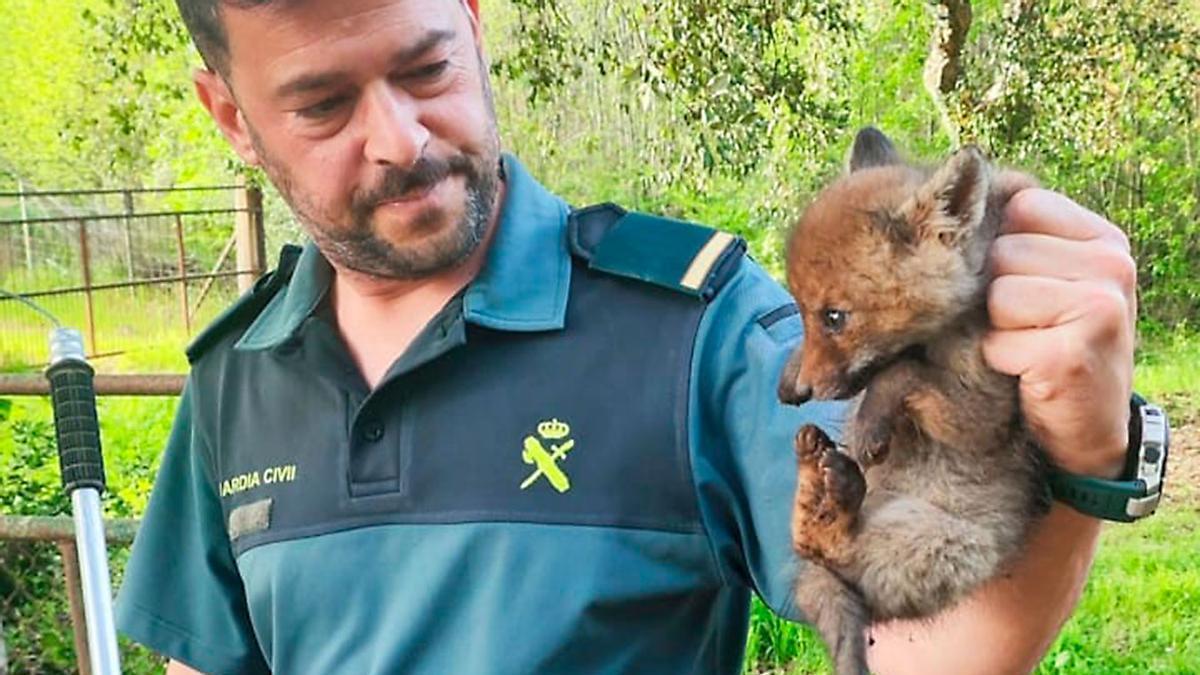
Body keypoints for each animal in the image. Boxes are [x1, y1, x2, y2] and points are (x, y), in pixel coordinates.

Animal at [776, 127, 1051, 675]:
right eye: (802, 310)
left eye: (835, 317)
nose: (808, 390)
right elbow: (898, 369)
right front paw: (792, 371)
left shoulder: (986, 410)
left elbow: (901, 374)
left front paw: (870, 425)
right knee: (809, 543)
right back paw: (817, 473)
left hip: (945, 543)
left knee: (830, 546)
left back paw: (835, 489)